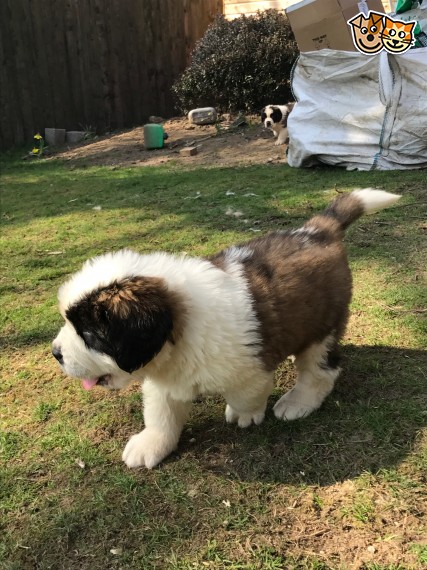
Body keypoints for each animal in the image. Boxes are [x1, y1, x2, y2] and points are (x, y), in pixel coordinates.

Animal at [52, 189, 400, 469]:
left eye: (90, 334)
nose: (55, 353)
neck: (179, 330)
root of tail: (316, 231)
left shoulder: (249, 370)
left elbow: (247, 394)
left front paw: (244, 413)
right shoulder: (164, 378)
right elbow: (161, 412)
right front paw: (152, 442)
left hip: (322, 327)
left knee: (322, 369)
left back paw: (298, 401)